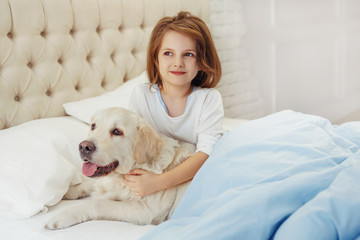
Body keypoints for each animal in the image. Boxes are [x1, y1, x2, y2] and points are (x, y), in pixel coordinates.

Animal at [47, 108, 197, 230]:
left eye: (117, 131)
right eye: (93, 126)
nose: (84, 146)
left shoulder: (146, 211)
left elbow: (97, 203)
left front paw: (62, 216)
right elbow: (89, 183)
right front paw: (67, 192)